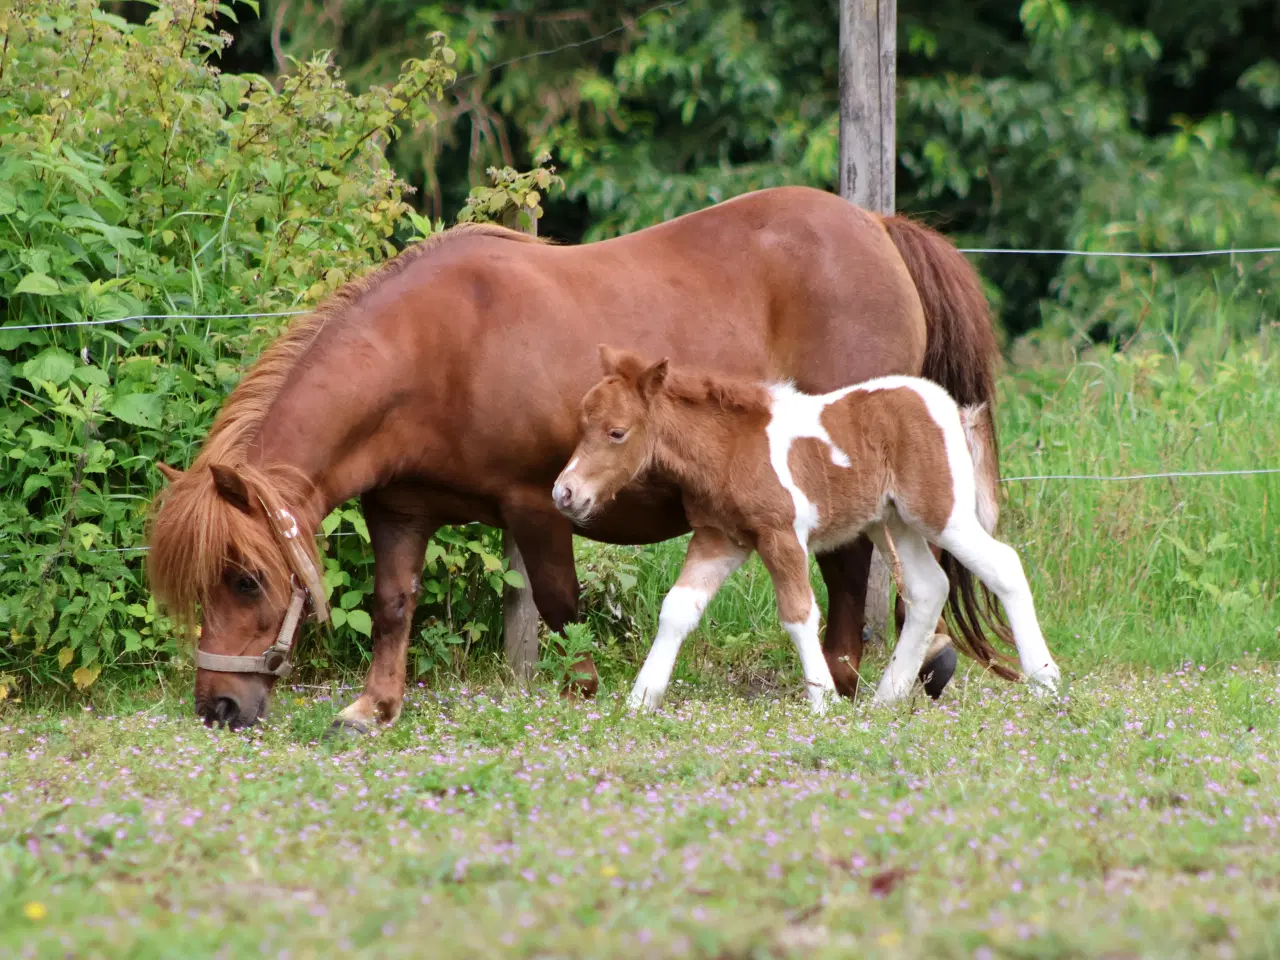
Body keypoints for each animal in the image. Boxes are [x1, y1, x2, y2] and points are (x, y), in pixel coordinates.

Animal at [142, 188, 998, 732]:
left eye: (247, 580)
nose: (218, 709)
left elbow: (558, 606)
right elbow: (393, 606)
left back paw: (848, 676)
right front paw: (373, 708)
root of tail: (878, 226)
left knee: (851, 568)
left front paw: (583, 693)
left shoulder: (535, 503)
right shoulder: (401, 509)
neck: (435, 350)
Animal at [552, 348, 1059, 716]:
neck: (732, 448)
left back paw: (1047, 682)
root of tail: (948, 406)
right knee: (928, 587)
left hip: (941, 513)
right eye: (583, 424)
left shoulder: (781, 535)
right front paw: (641, 699)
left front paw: (822, 701)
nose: (565, 492)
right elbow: (677, 609)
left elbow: (798, 613)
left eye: (617, 433)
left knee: (1003, 566)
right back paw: (886, 698)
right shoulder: (720, 539)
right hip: (894, 521)